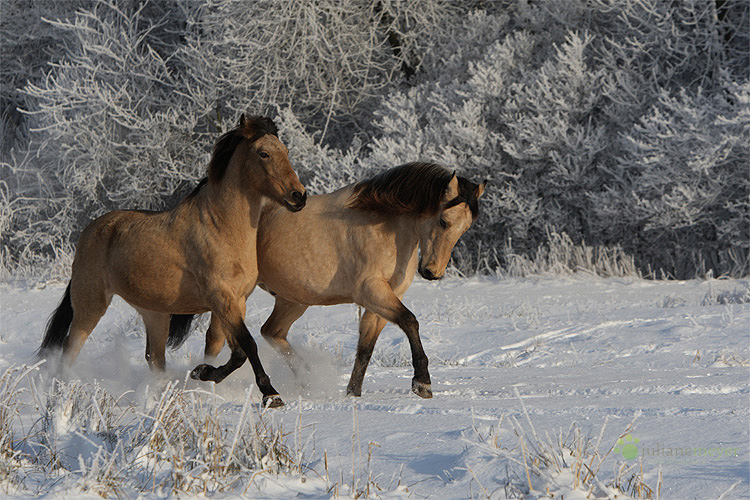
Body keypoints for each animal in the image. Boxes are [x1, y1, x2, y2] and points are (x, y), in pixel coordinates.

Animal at [37, 115, 308, 408]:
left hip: (154, 314)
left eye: (286, 151)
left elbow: (226, 348)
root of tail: (89, 232)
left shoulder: (236, 301)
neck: (221, 226)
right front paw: (270, 394)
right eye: (263, 153)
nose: (299, 195)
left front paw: (202, 373)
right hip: (90, 305)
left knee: (154, 358)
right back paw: (62, 393)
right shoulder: (221, 298)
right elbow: (247, 345)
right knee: (70, 349)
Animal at [169, 163, 488, 398]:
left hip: (294, 299)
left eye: (465, 228)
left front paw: (352, 394)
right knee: (218, 339)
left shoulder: (381, 300)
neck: (385, 225)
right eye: (444, 221)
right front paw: (422, 383)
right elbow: (410, 321)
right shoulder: (371, 291)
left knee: (271, 332)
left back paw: (306, 379)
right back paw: (204, 377)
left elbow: (365, 348)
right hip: (234, 294)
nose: (432, 272)